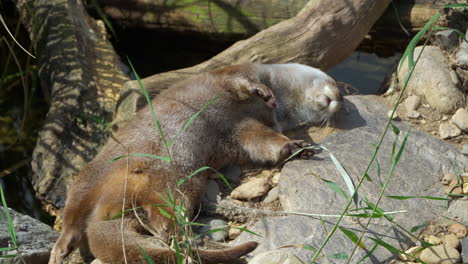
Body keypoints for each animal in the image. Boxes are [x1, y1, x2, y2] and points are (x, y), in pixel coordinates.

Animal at [47, 63, 342, 262]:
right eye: (333, 82)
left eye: (340, 95)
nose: (338, 101)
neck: (279, 103)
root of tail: (105, 210)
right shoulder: (234, 72)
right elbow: (239, 82)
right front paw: (262, 91)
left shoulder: (250, 128)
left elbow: (263, 143)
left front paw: (295, 148)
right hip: (92, 174)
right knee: (72, 216)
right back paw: (59, 250)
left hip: (177, 187)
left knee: (160, 214)